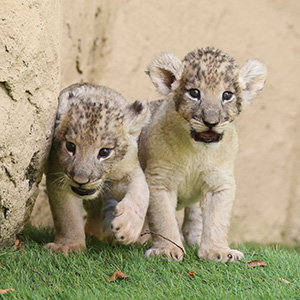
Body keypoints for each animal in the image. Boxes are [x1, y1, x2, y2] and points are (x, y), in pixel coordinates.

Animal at [44, 82, 150, 253]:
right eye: (70, 146)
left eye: (104, 152)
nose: (81, 180)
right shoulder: (58, 176)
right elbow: (68, 215)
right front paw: (69, 245)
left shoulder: (127, 168)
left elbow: (141, 190)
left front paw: (127, 228)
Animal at [139, 48, 268, 262]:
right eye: (194, 93)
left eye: (227, 95)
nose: (211, 122)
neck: (197, 151)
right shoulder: (160, 181)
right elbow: (163, 218)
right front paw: (167, 250)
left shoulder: (220, 182)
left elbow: (217, 219)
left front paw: (218, 252)